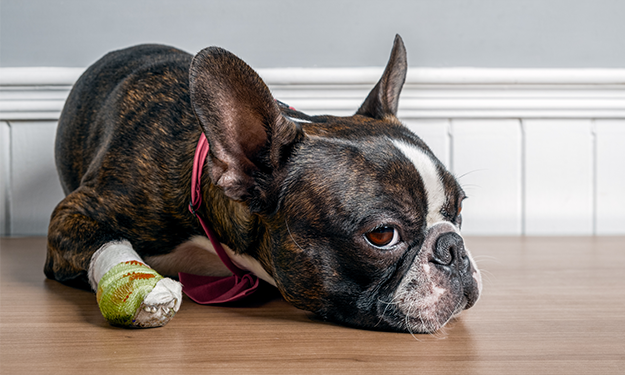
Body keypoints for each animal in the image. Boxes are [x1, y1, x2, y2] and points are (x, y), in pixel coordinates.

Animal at [45, 35, 482, 334]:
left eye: (459, 210)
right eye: (382, 235)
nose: (453, 247)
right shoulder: (74, 212)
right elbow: (109, 241)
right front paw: (146, 292)